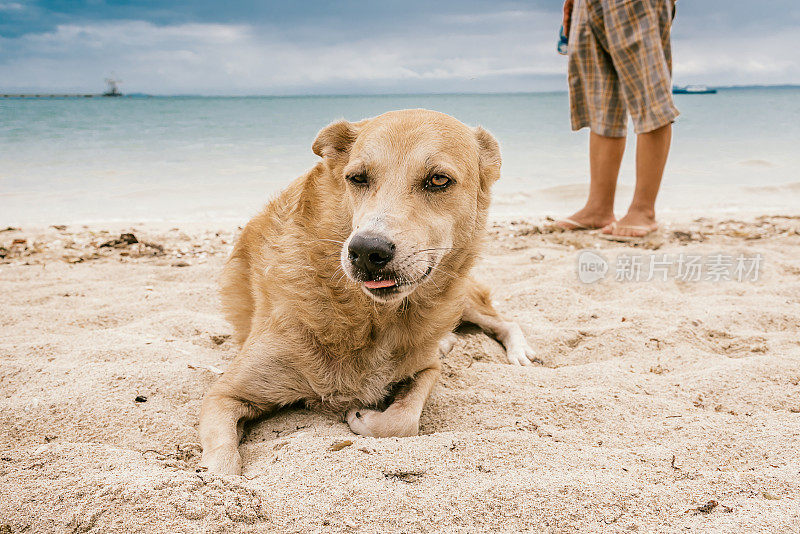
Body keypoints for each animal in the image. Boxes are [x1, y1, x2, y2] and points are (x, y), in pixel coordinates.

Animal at [200, 110, 536, 478]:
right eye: (357, 178)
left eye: (438, 180)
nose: (365, 250)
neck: (368, 315)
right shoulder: (223, 395)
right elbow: (221, 470)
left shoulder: (428, 369)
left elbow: (402, 421)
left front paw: (362, 416)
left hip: (460, 297)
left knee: (502, 320)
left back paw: (518, 352)